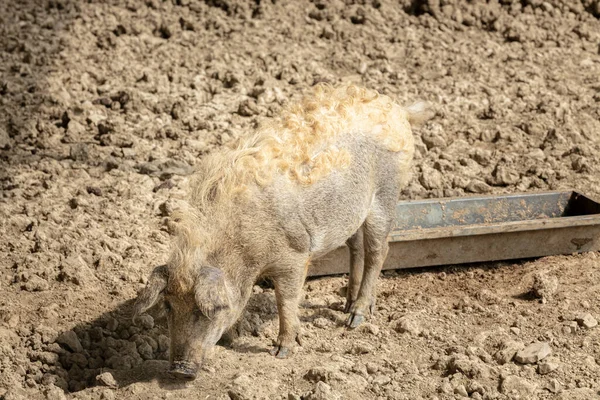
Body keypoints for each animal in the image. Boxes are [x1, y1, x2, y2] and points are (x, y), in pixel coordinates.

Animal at [134, 83, 432, 378]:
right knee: (356, 247)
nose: (179, 371)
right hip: (352, 213)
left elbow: (285, 300)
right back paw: (346, 305)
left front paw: (281, 352)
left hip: (385, 195)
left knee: (379, 250)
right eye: (169, 305)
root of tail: (397, 109)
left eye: (208, 309)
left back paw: (354, 319)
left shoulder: (295, 255)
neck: (243, 247)